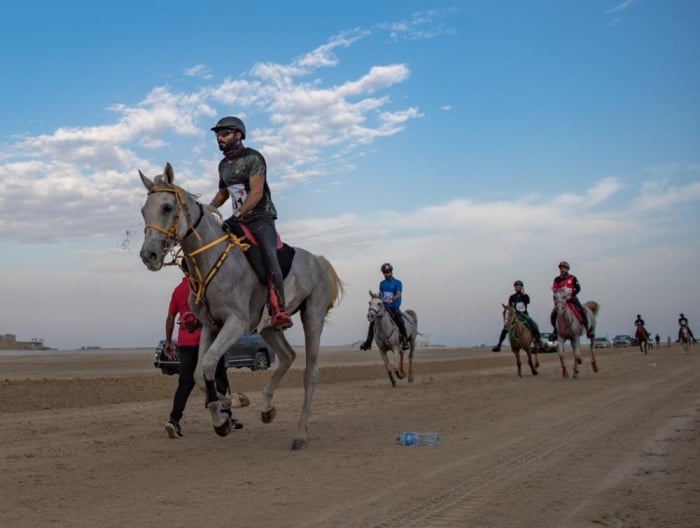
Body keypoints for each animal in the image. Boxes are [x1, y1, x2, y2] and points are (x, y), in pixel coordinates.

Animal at [138, 162, 344, 450]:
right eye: (143, 210)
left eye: (167, 207)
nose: (149, 255)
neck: (212, 260)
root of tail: (320, 261)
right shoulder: (211, 326)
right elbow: (200, 373)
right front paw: (222, 415)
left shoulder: (236, 323)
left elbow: (208, 364)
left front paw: (225, 411)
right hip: (269, 326)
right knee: (288, 356)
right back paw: (267, 408)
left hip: (312, 317)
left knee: (310, 374)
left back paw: (300, 435)